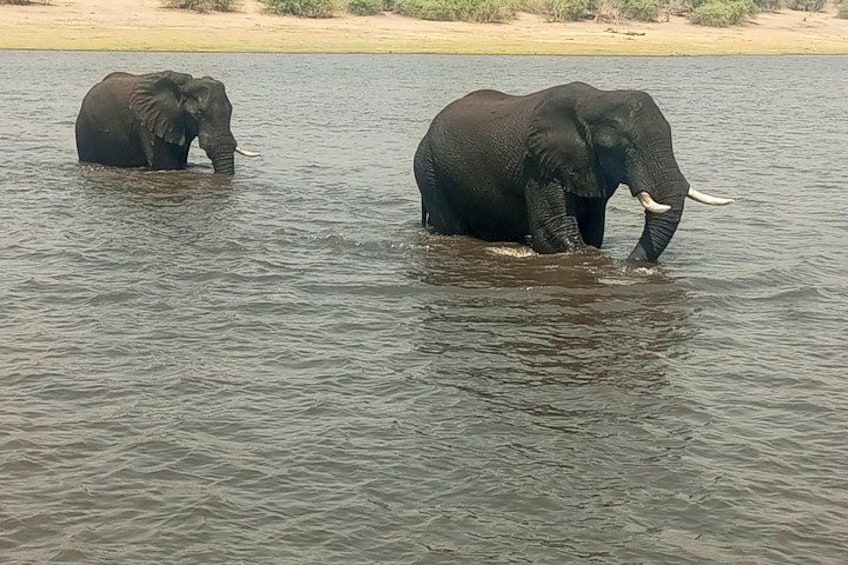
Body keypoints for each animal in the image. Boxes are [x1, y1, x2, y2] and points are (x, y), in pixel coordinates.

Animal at [413, 82, 733, 263]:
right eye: (620, 146)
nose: (628, 263)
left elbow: (593, 230)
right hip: (430, 172)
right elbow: (554, 234)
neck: (596, 100)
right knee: (451, 227)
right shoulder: (540, 166)